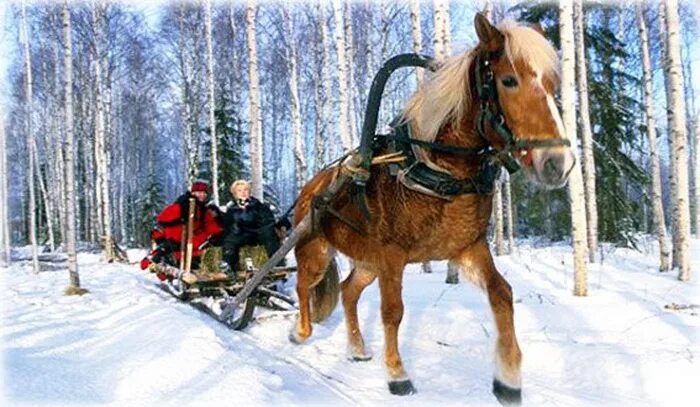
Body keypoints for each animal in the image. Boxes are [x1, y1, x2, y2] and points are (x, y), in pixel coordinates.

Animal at [290, 13, 576, 407]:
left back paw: (358, 348)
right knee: (304, 285)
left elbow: (502, 293)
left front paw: (508, 378)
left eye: (552, 84)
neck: (437, 170)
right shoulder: (392, 256)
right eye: (508, 80)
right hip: (316, 251)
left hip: (367, 263)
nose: (557, 163)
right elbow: (393, 312)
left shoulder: (468, 247)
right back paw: (300, 331)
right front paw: (397, 375)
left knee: (348, 291)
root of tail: (311, 188)